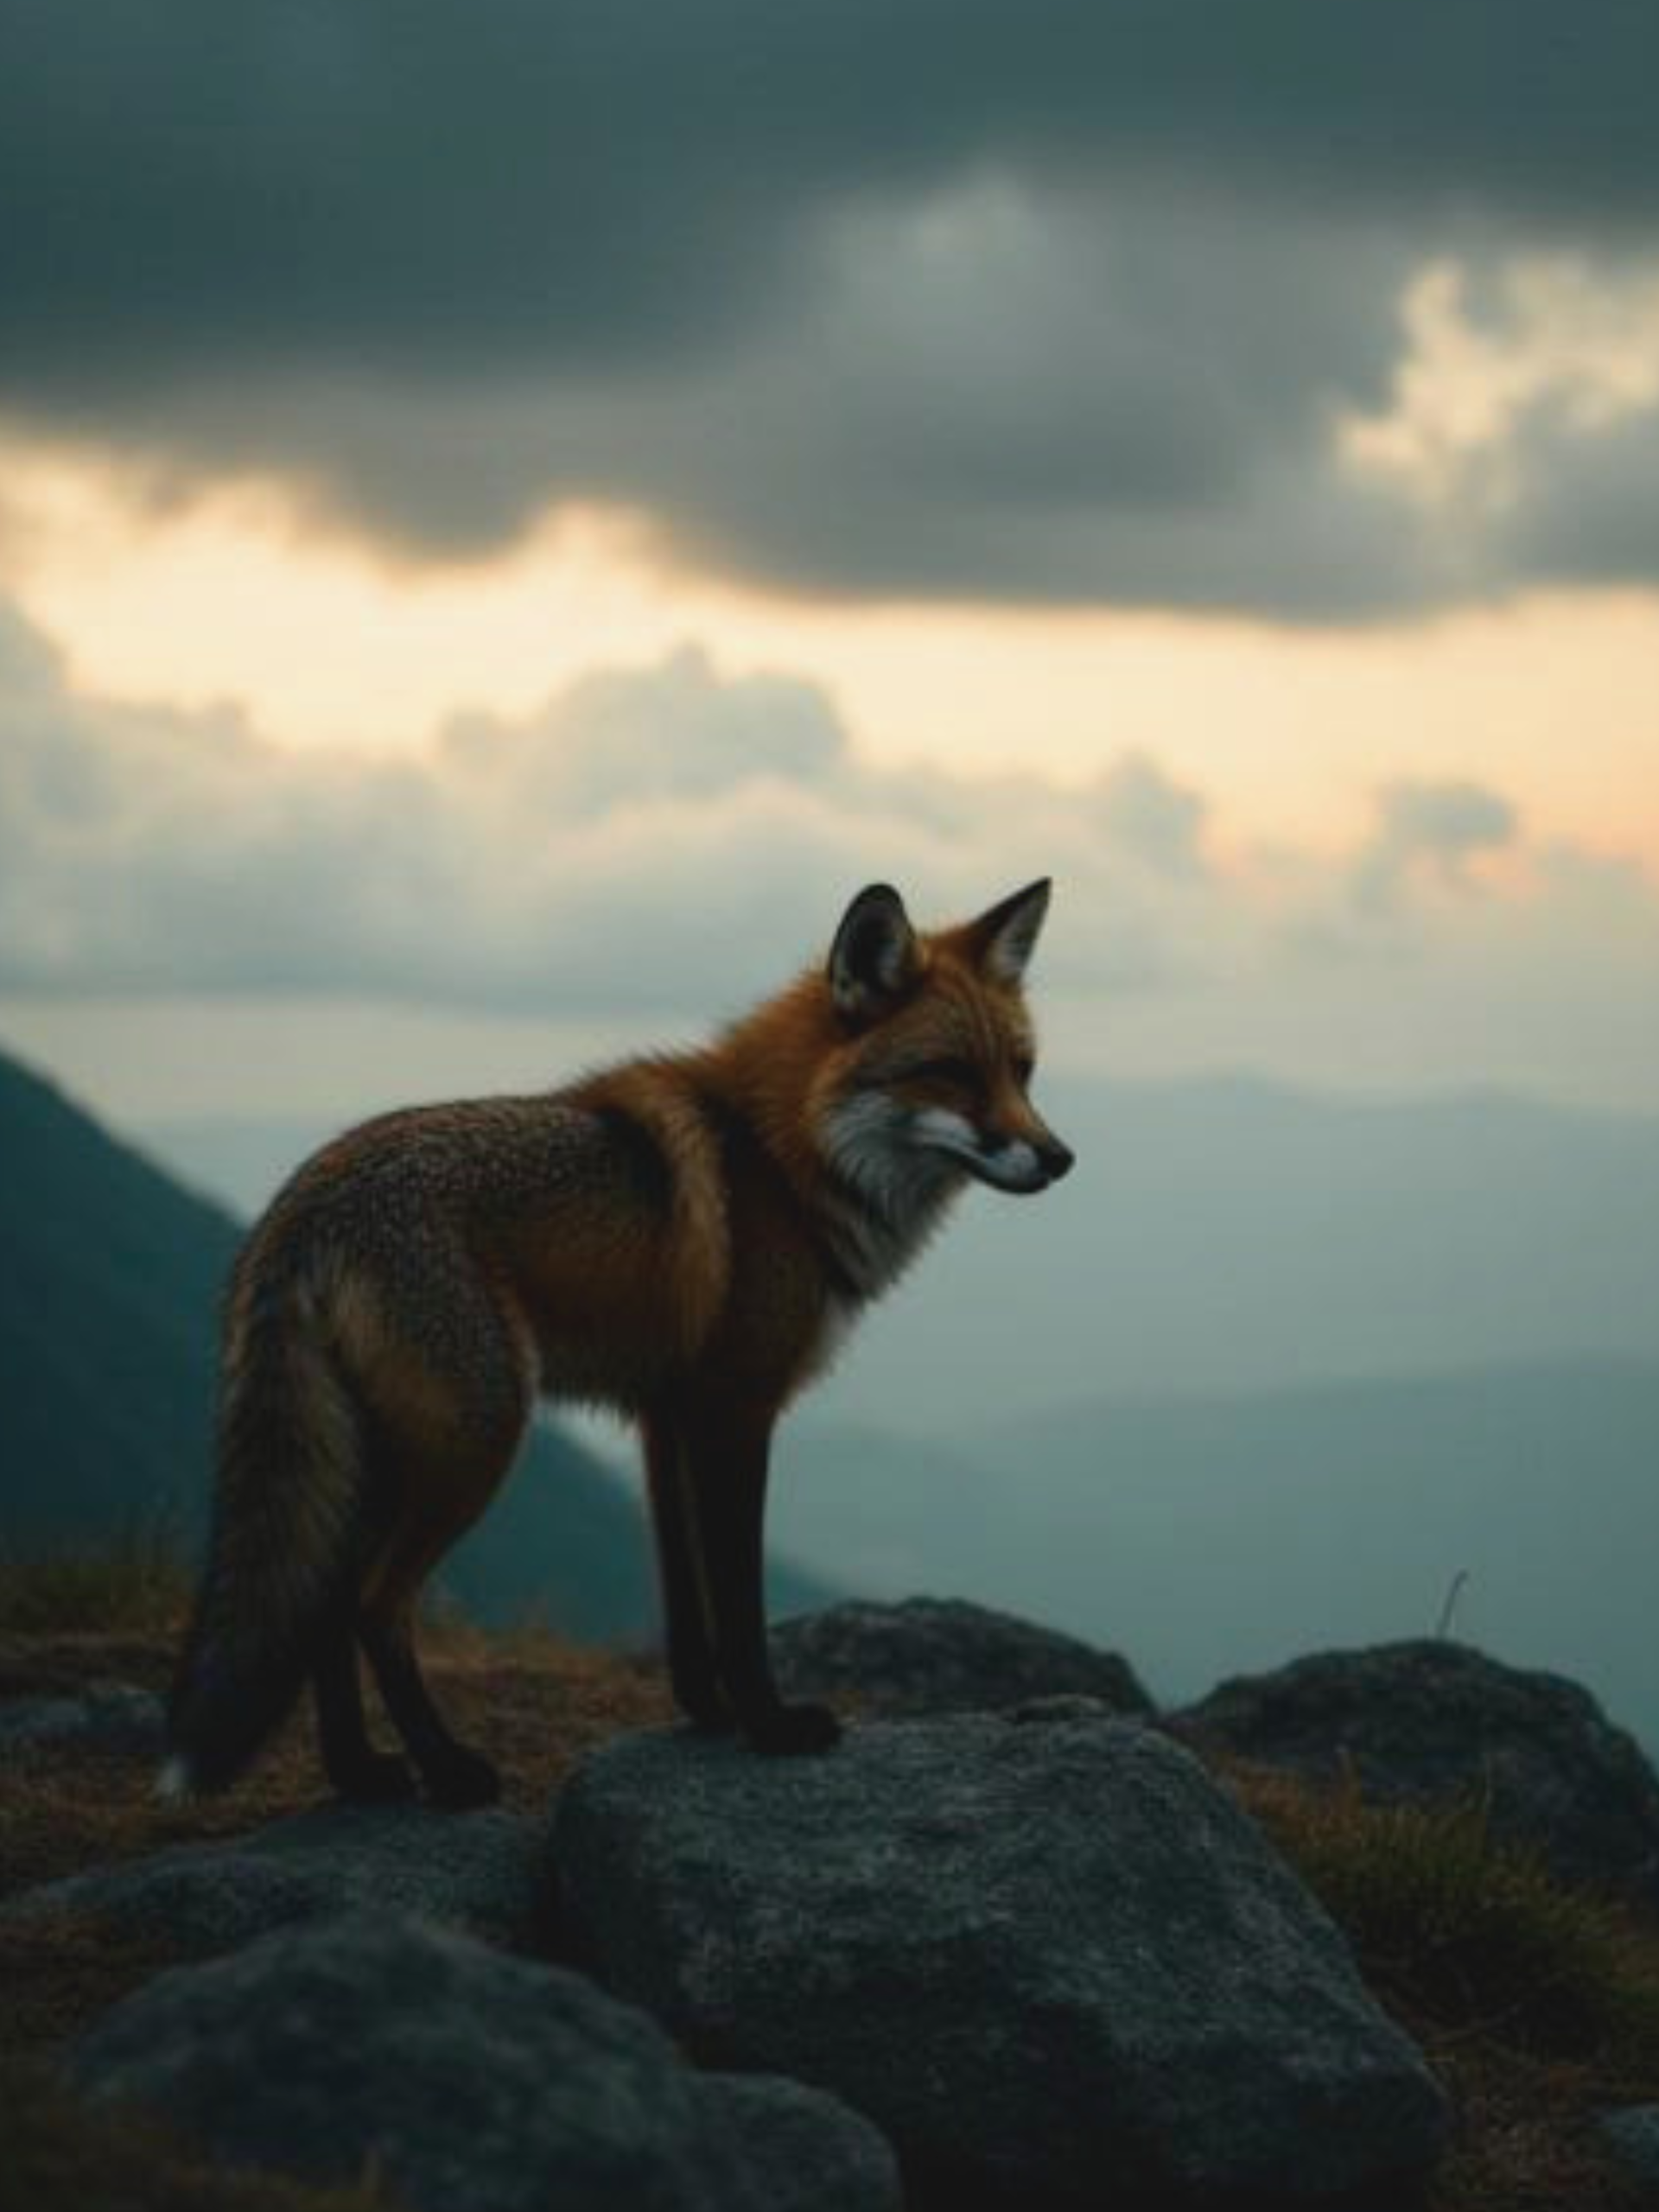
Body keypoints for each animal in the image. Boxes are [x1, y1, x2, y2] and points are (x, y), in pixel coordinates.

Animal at [163, 879, 1073, 1807]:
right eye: (951, 1072)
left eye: (1022, 1071)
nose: (1060, 1157)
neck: (780, 1159)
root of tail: (301, 1204)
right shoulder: (736, 1410)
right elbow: (737, 1598)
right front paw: (770, 1724)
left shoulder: (665, 1416)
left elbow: (686, 1601)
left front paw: (708, 1712)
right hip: (474, 1441)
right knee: (372, 1607)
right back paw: (447, 1768)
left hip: (380, 1455)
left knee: (325, 1609)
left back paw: (361, 1772)